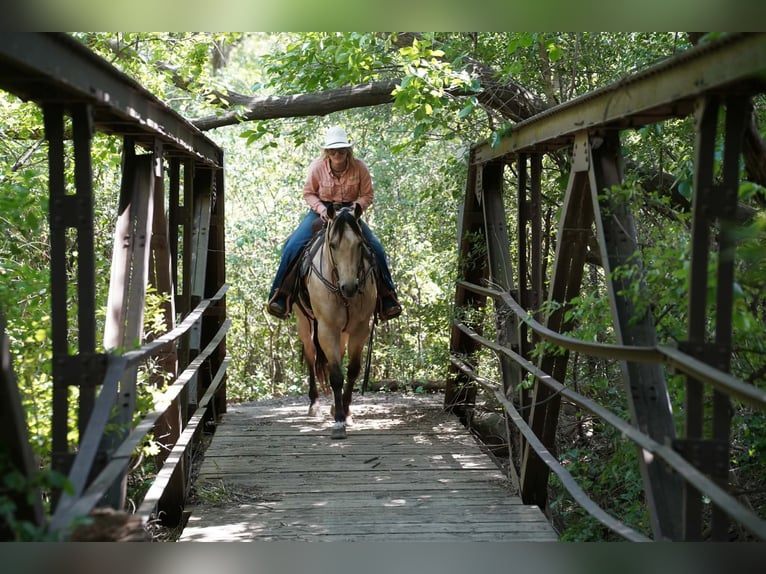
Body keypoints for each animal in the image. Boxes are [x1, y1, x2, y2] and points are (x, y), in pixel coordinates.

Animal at [294, 203, 377, 439]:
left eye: (359, 244)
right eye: (332, 245)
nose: (349, 287)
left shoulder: (360, 329)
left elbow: (352, 370)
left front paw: (345, 411)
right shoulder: (327, 329)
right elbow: (336, 375)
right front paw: (339, 421)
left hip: (343, 332)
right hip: (304, 324)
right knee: (311, 357)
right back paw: (314, 404)